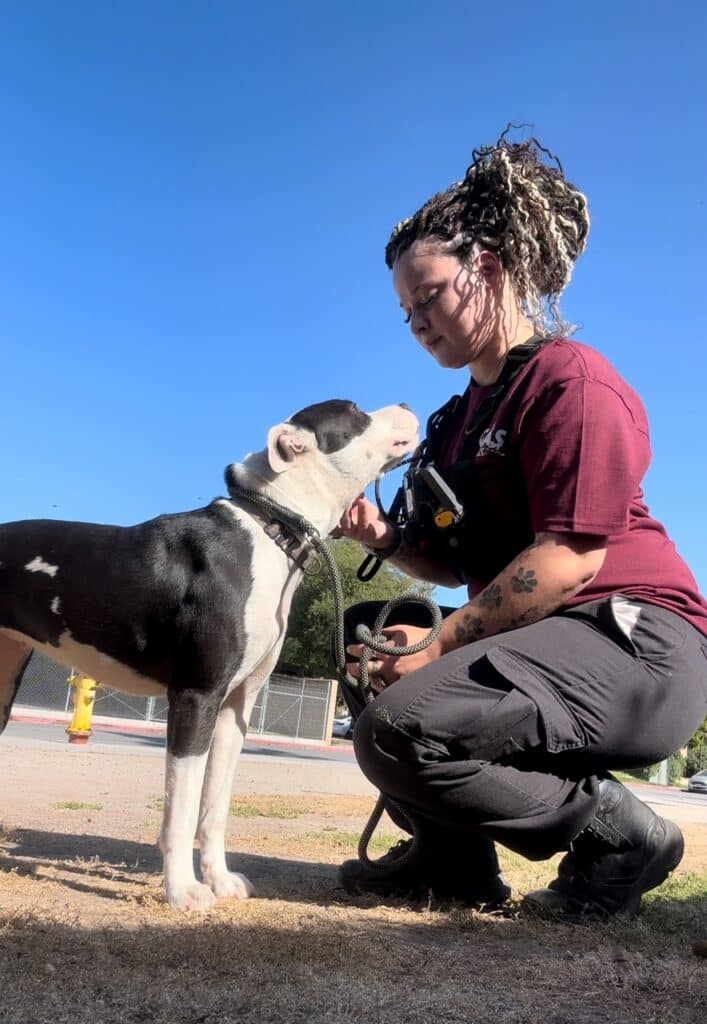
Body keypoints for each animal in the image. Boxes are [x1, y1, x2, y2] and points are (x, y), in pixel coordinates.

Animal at [0, 399, 418, 913]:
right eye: (355, 411)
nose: (407, 405)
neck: (270, 527)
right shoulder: (195, 698)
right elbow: (181, 810)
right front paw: (183, 890)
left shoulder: (234, 710)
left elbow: (214, 806)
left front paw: (219, 880)